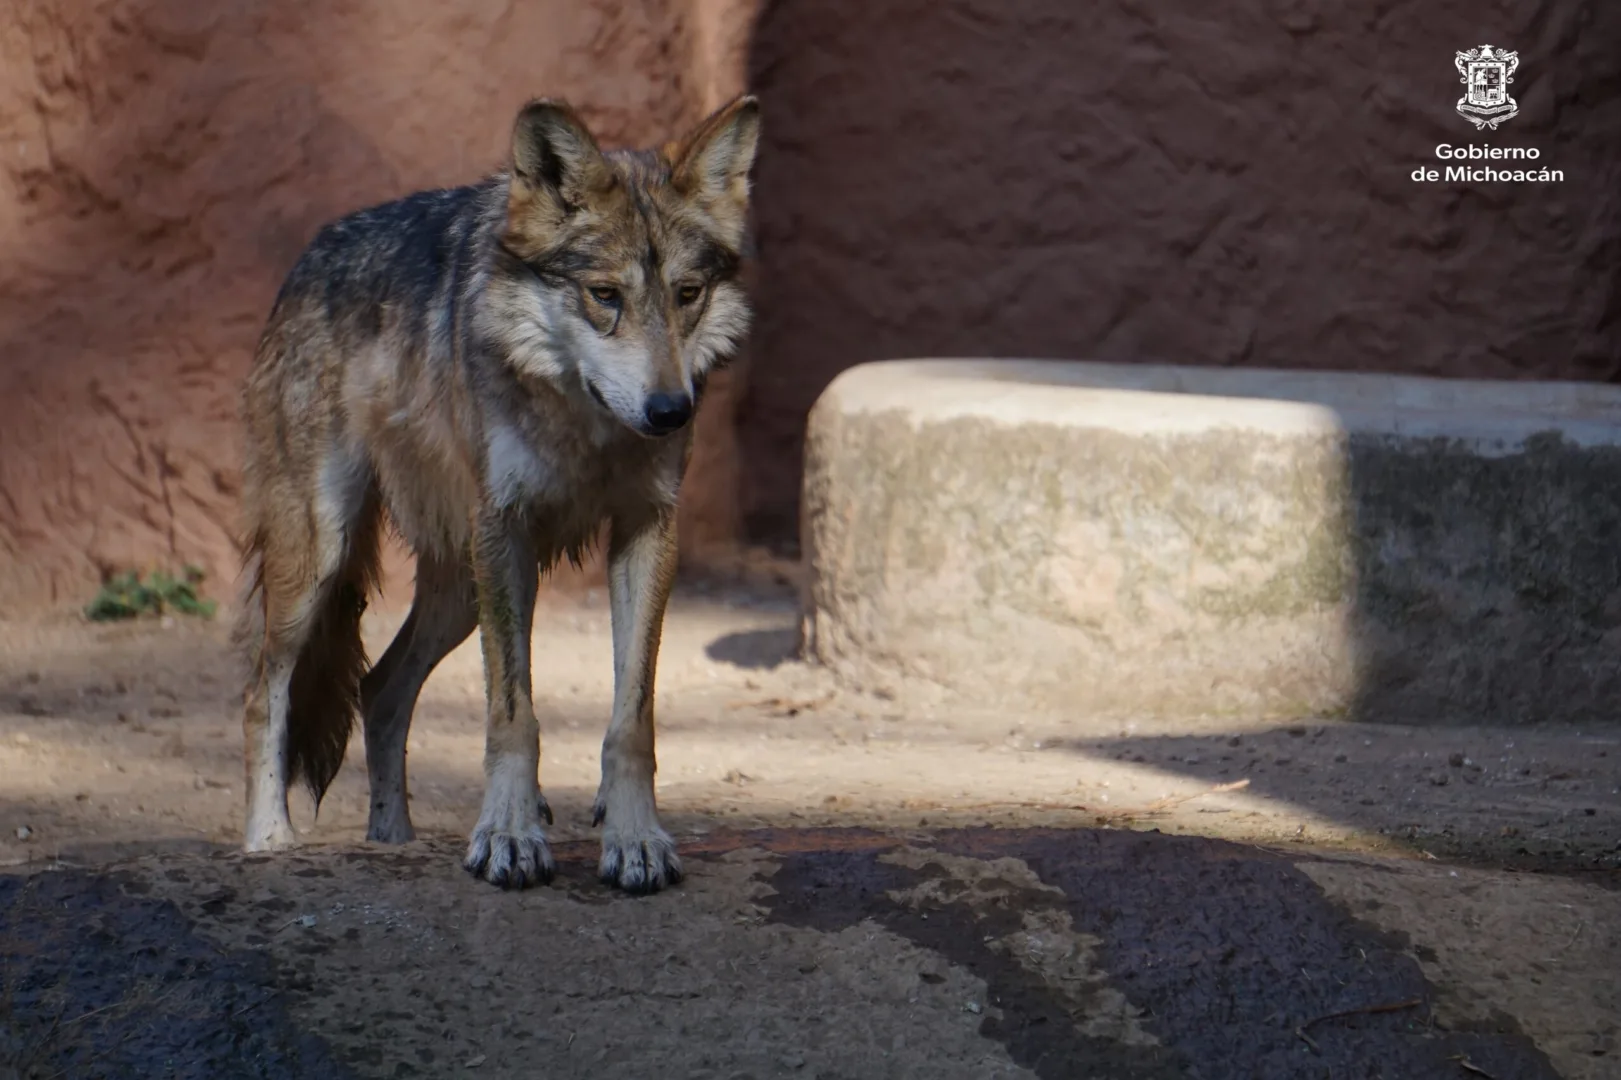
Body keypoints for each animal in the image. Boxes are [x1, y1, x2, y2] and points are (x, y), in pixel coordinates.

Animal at [232, 94, 761, 894]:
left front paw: (635, 839)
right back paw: (269, 839)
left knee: (379, 689)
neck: (583, 428)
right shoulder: (506, 531)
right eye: (604, 296)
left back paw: (393, 839)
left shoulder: (646, 530)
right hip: (325, 561)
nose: (671, 411)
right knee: (266, 691)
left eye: (687, 296)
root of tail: (307, 257)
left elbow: (631, 718)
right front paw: (509, 836)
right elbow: (513, 714)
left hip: (458, 590)